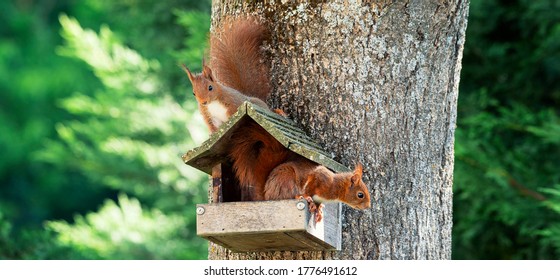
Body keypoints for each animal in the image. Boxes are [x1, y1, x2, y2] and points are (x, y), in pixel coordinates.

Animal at [182, 16, 370, 222]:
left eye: (210, 87)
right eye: (360, 194)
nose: (368, 206)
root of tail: (265, 196)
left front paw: (319, 210)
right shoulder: (319, 178)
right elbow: (310, 185)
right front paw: (307, 198)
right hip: (285, 179)